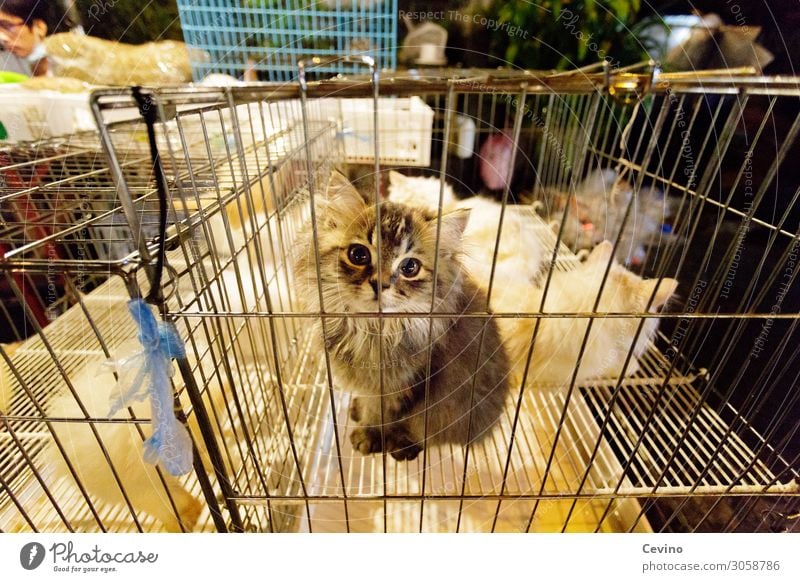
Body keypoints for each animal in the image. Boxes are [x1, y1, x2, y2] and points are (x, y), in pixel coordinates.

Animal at [296, 171, 512, 464]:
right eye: (358, 254)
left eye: (410, 267)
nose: (381, 283)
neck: (370, 327)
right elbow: (368, 402)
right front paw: (360, 411)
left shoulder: (402, 385)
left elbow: (381, 415)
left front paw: (369, 436)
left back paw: (403, 447)